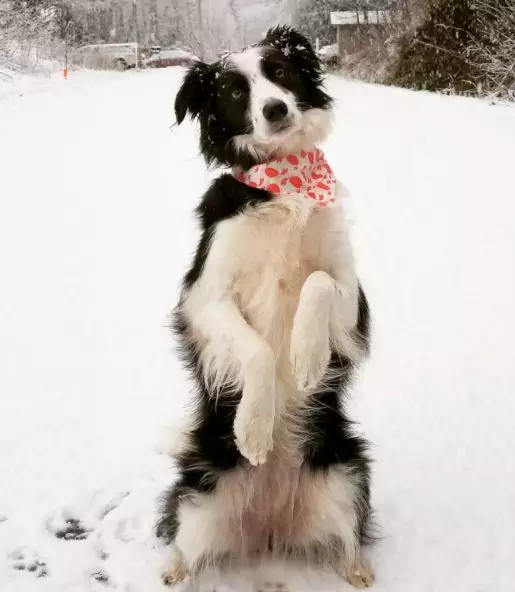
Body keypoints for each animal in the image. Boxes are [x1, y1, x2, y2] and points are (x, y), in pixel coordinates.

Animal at [157, 26, 374, 588]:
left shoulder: (354, 299)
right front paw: (253, 429)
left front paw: (307, 358)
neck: (283, 185)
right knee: (184, 539)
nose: (274, 109)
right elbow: (253, 349)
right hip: (200, 494)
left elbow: (317, 282)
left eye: (280, 71)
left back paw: (358, 567)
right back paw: (173, 568)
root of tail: (268, 525)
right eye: (235, 92)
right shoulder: (205, 298)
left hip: (345, 473)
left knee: (347, 534)